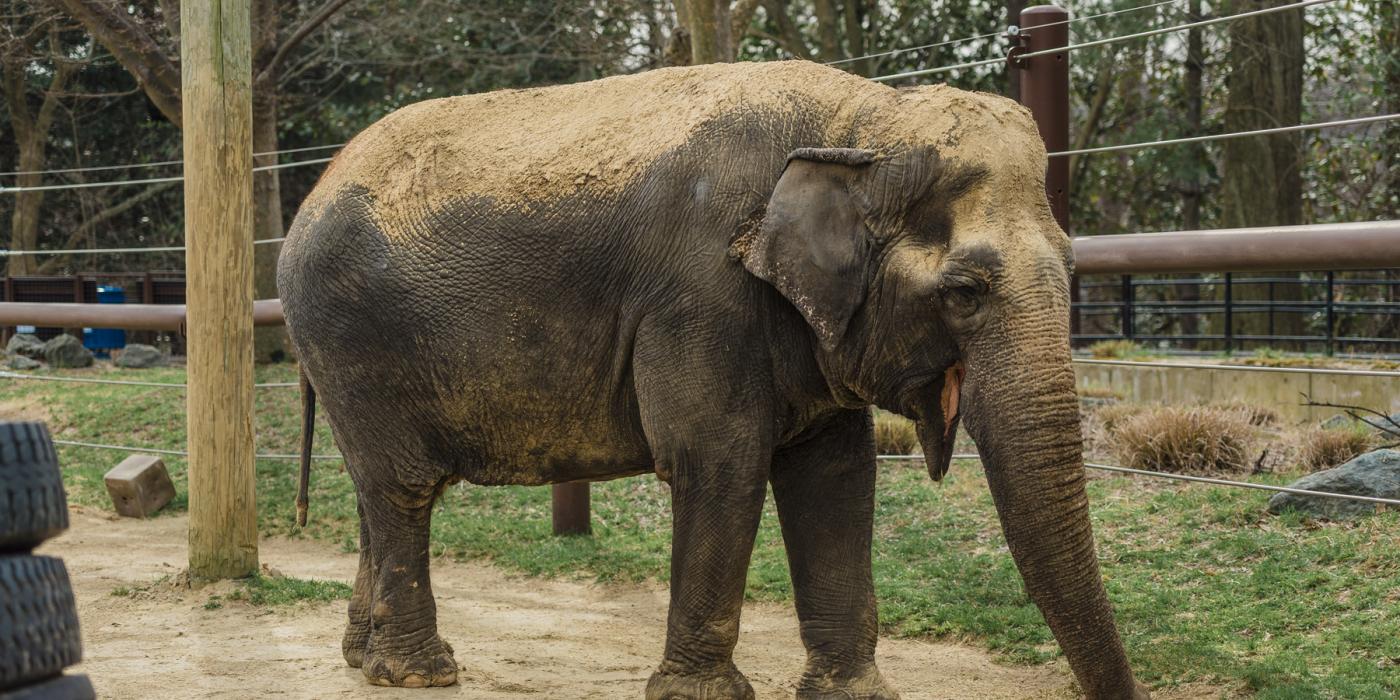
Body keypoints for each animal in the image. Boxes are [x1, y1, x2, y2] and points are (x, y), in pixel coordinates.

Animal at [281, 61, 1148, 700]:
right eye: (964, 292)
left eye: (1073, 268)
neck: (859, 125)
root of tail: (310, 194)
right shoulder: (701, 297)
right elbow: (719, 463)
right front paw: (703, 696)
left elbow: (837, 475)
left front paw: (853, 694)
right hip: (352, 339)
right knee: (403, 489)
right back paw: (420, 674)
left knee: (375, 491)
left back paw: (363, 660)